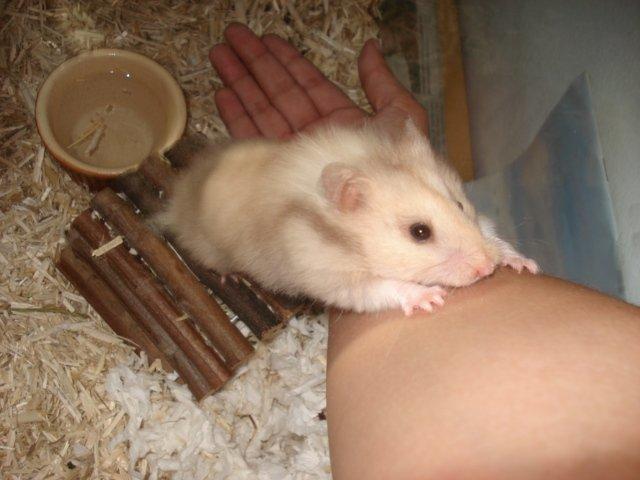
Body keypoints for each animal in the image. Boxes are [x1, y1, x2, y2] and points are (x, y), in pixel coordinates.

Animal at [159, 121, 538, 316]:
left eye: (459, 205)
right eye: (419, 232)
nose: (486, 269)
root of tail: (177, 198)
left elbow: (491, 233)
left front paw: (525, 264)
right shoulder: (333, 277)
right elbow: (386, 286)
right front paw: (431, 298)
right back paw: (231, 278)